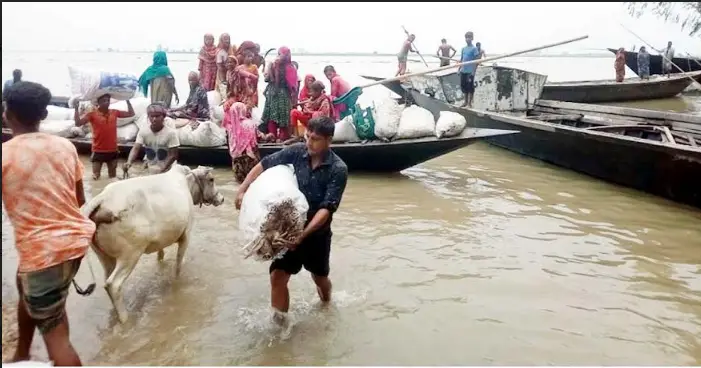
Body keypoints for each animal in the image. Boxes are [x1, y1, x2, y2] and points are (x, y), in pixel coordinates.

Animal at [81, 163, 224, 322]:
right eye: (211, 179)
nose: (222, 199)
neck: (187, 183)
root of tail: (102, 199)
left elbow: (161, 255)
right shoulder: (186, 235)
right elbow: (178, 265)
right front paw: (177, 281)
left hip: (106, 257)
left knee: (107, 280)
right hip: (131, 254)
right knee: (113, 284)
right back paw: (125, 319)